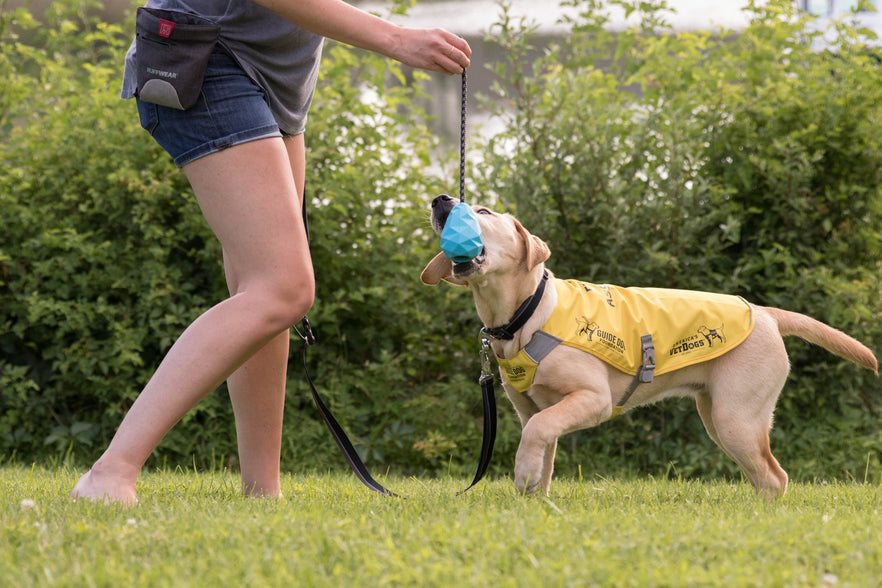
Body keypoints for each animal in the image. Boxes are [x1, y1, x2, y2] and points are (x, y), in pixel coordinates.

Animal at [422, 195, 876, 498]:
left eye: (483, 212)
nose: (441, 199)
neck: (524, 315)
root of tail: (763, 312)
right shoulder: (532, 407)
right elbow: (543, 447)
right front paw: (534, 496)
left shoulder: (593, 399)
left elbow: (537, 432)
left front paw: (521, 476)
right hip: (720, 417)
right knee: (763, 475)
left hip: (736, 417)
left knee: (776, 477)